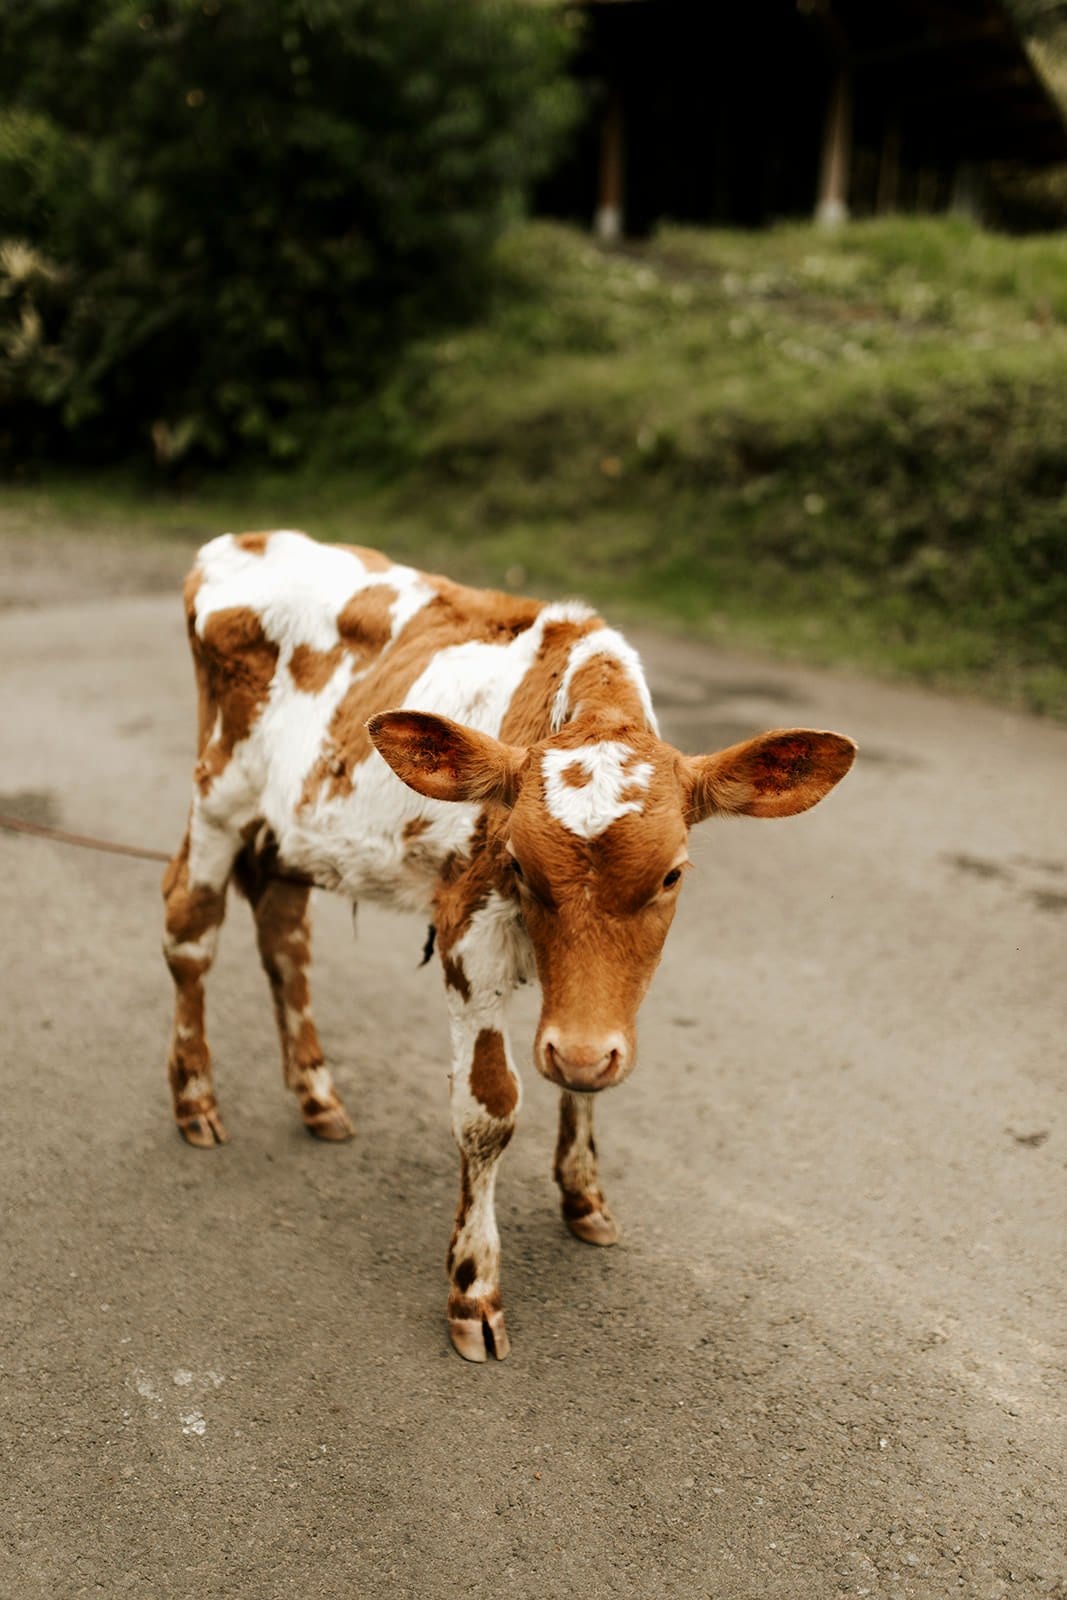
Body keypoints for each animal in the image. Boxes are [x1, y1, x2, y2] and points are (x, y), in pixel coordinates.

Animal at [162, 530, 855, 1362]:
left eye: (671, 875)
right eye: (519, 865)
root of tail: (245, 540)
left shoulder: (597, 1004)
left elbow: (582, 1074)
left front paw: (583, 1194)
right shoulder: (469, 934)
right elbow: (488, 1108)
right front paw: (473, 1287)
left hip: (291, 833)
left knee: (283, 934)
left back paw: (316, 1095)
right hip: (218, 794)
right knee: (190, 930)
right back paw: (195, 1100)